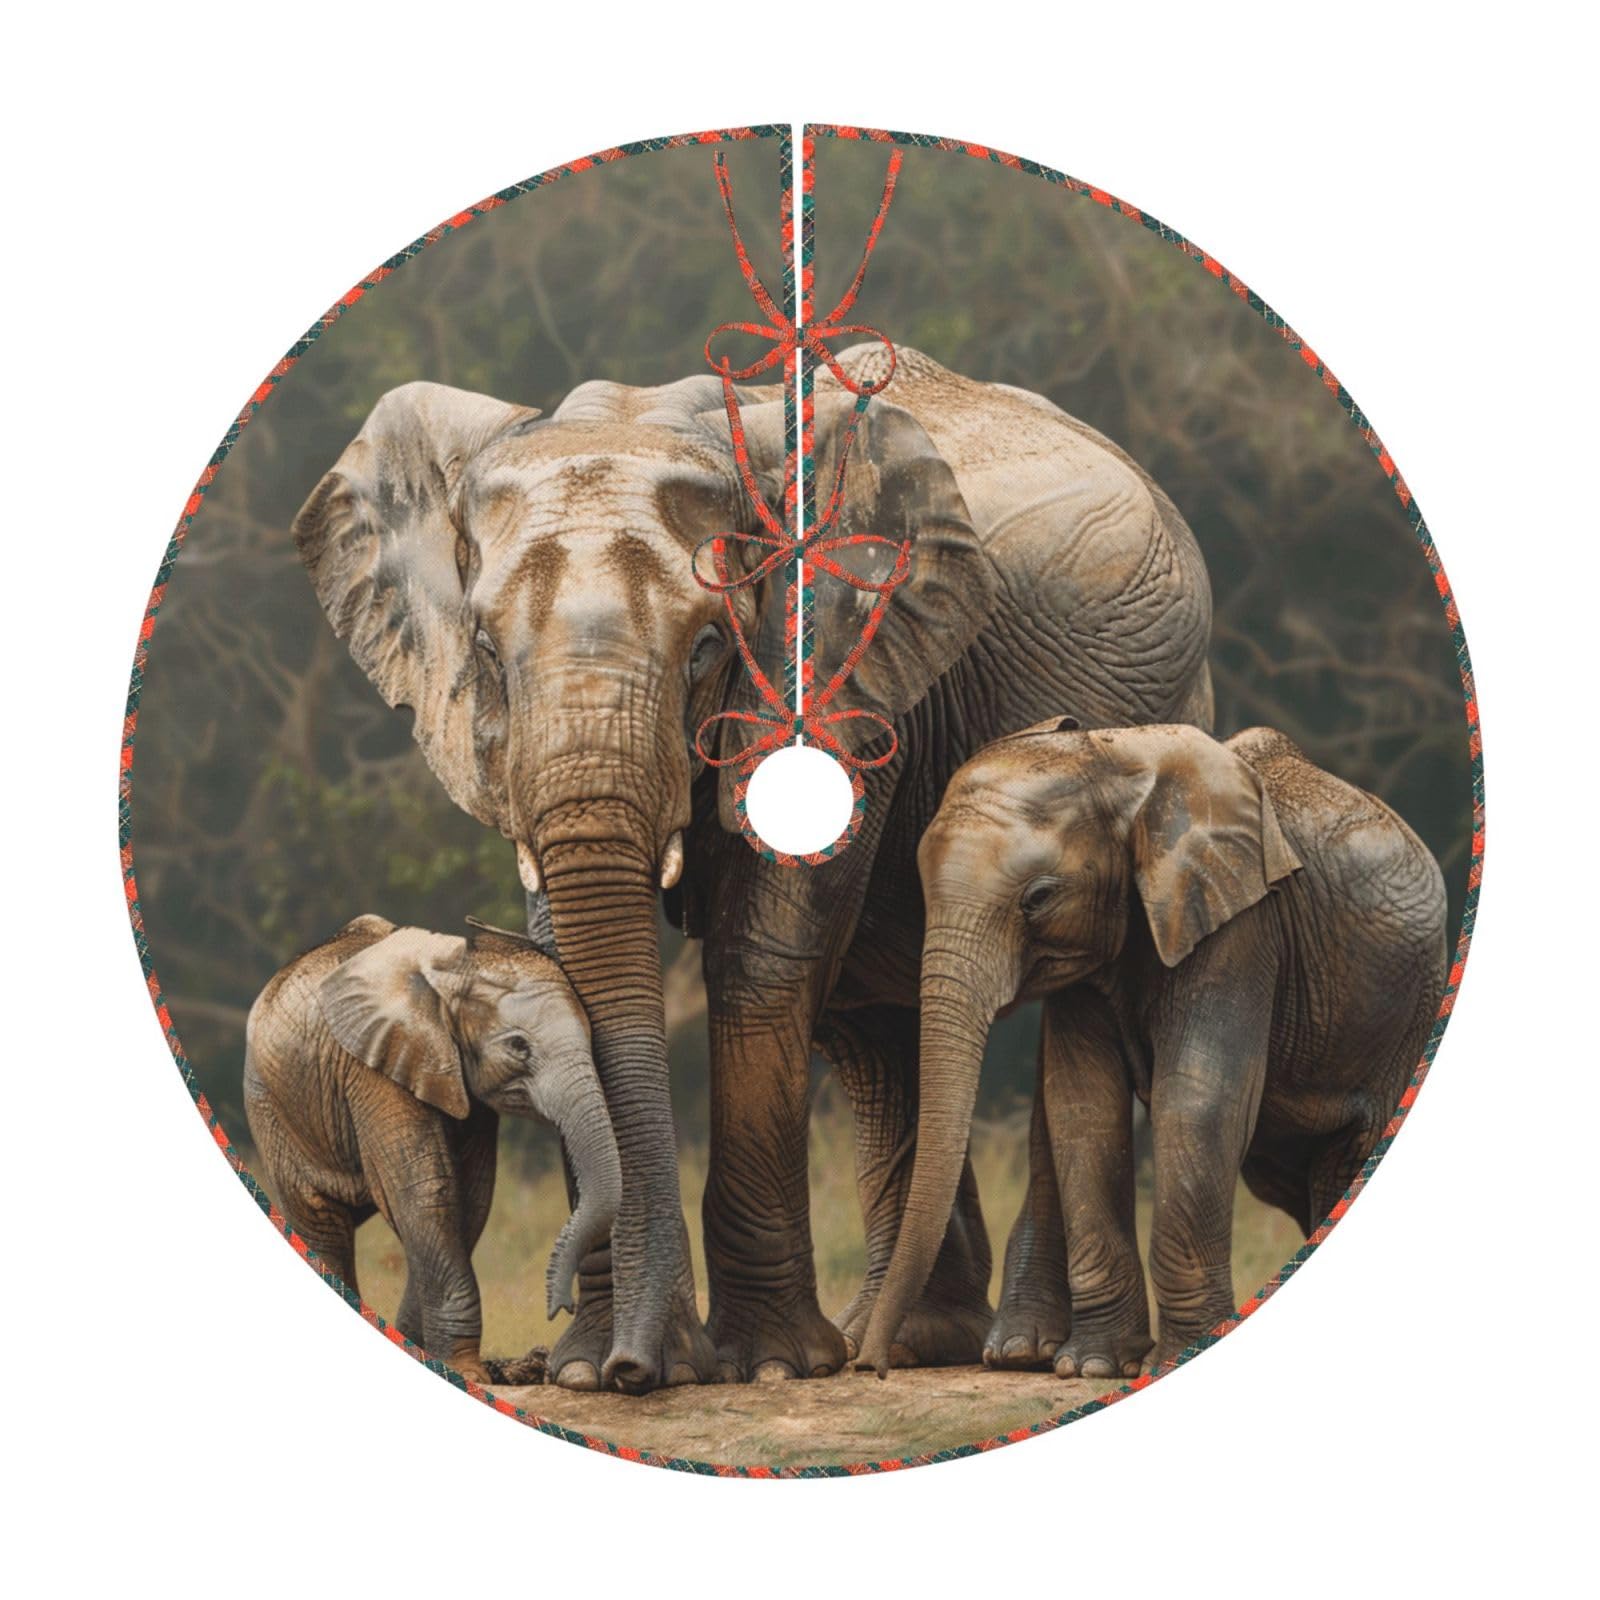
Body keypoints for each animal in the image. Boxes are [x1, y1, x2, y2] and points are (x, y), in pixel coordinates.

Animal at [243, 915, 620, 1386]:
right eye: (518, 1046)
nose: (559, 1308)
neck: (453, 970)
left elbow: (470, 1201)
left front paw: (419, 1347)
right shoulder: (376, 1067)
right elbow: (429, 1192)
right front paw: (468, 1373)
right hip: (273, 1107)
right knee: (320, 1220)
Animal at [292, 342, 1215, 1390]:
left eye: (706, 647)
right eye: (485, 649)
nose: (637, 1370)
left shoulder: (849, 665)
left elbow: (763, 952)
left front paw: (764, 1366)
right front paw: (588, 1370)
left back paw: (989, 1352)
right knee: (871, 1024)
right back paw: (904, 1341)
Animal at [855, 722, 1447, 1379]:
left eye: (1038, 897)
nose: (872, 1366)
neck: (1116, 761)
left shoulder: (1243, 925)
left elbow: (1197, 1100)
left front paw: (1171, 1357)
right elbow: (1083, 1107)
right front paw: (1092, 1366)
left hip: (1411, 1016)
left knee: (1351, 1153)